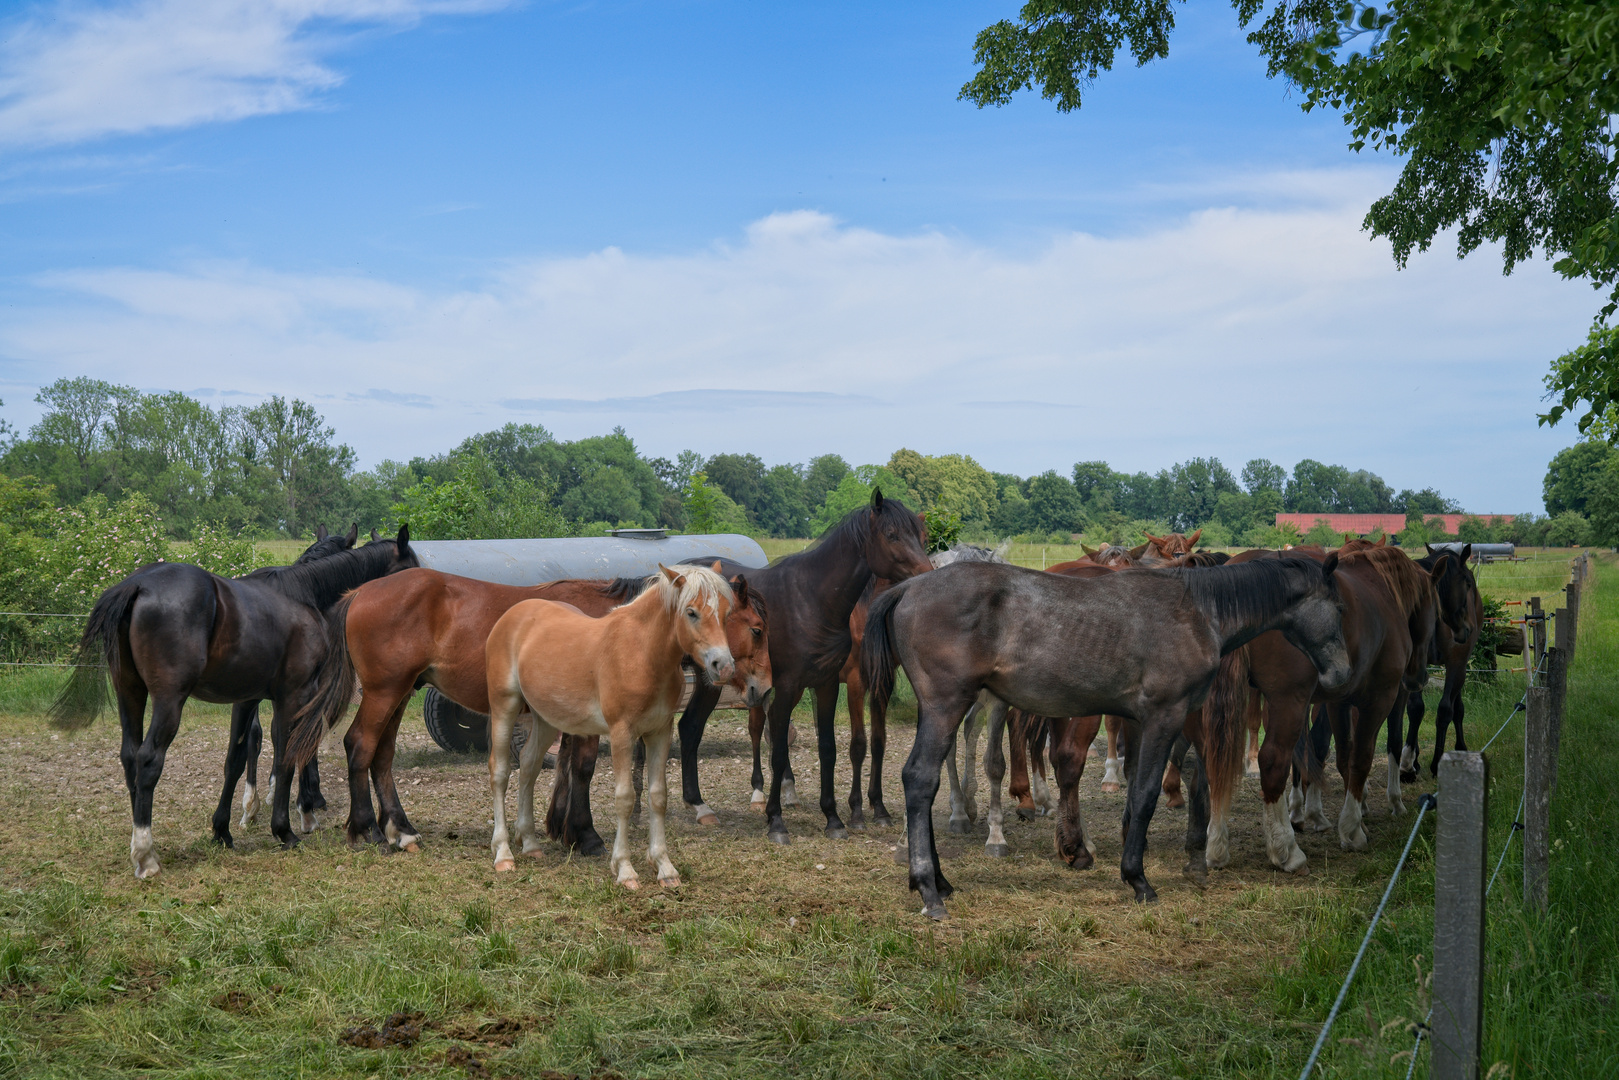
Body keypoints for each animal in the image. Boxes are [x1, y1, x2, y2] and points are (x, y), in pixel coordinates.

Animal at [50, 531, 417, 880]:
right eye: (412, 568)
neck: (303, 594)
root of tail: (137, 584)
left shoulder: (247, 699)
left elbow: (236, 759)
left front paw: (222, 831)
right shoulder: (293, 696)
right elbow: (287, 756)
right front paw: (286, 829)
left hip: (130, 691)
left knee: (129, 757)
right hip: (169, 701)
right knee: (148, 759)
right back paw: (145, 854)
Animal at [479, 566, 735, 887]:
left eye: (726, 613)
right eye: (691, 612)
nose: (723, 667)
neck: (641, 653)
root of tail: (514, 614)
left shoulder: (659, 732)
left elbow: (658, 797)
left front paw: (665, 868)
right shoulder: (621, 733)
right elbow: (624, 798)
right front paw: (625, 870)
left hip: (546, 718)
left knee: (528, 765)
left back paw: (530, 844)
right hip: (505, 706)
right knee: (500, 773)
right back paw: (503, 854)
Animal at [861, 557, 1353, 919]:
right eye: (1338, 607)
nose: (1340, 675)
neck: (1197, 613)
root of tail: (908, 588)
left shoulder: (1145, 722)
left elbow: (1148, 787)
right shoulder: (1164, 716)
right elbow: (1146, 794)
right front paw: (1138, 878)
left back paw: (939, 882)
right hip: (946, 705)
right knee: (919, 780)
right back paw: (929, 891)